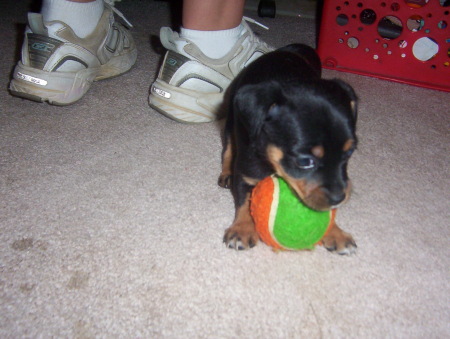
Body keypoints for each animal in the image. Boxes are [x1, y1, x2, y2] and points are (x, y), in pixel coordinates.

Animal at [219, 43, 358, 255]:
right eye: (304, 161)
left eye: (349, 152)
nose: (339, 198)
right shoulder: (246, 172)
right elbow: (244, 201)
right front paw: (241, 230)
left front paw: (336, 233)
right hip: (231, 119)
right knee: (228, 148)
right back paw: (226, 173)